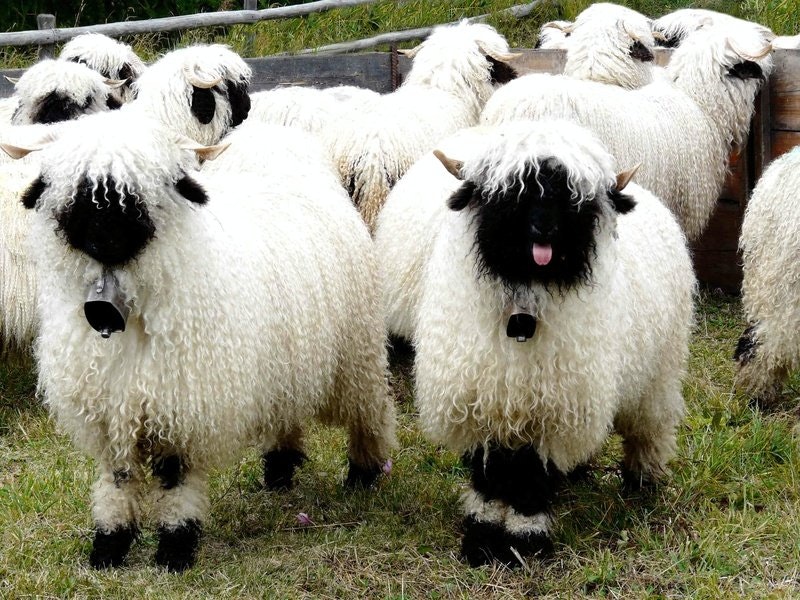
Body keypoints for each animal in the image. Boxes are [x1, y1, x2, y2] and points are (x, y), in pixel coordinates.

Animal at [2, 110, 396, 571]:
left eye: (137, 192)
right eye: (77, 191)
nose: (104, 239)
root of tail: (286, 156)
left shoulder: (182, 404)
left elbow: (175, 481)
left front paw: (175, 549)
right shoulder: (110, 408)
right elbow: (118, 481)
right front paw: (109, 547)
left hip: (356, 354)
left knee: (370, 412)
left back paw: (364, 475)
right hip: (284, 363)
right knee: (285, 412)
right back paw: (279, 473)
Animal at [412, 120, 695, 566]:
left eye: (572, 196)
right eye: (511, 192)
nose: (544, 228)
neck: (524, 299)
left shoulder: (550, 408)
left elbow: (530, 475)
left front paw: (524, 541)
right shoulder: (483, 401)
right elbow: (488, 475)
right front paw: (481, 538)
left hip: (658, 375)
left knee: (649, 428)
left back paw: (642, 483)